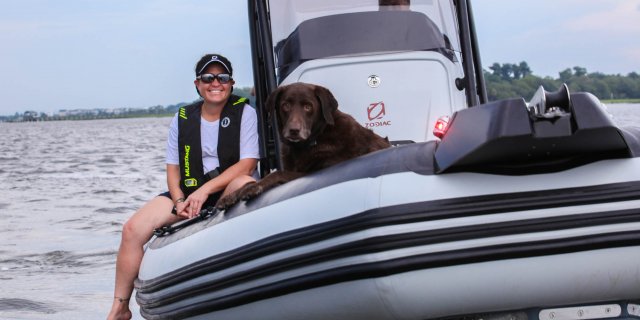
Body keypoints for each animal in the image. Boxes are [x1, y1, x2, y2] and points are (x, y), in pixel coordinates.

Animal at [215, 81, 390, 209]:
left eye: (308, 107)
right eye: (286, 105)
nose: (294, 130)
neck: (315, 139)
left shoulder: (315, 171)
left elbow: (276, 174)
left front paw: (252, 189)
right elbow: (251, 180)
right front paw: (231, 195)